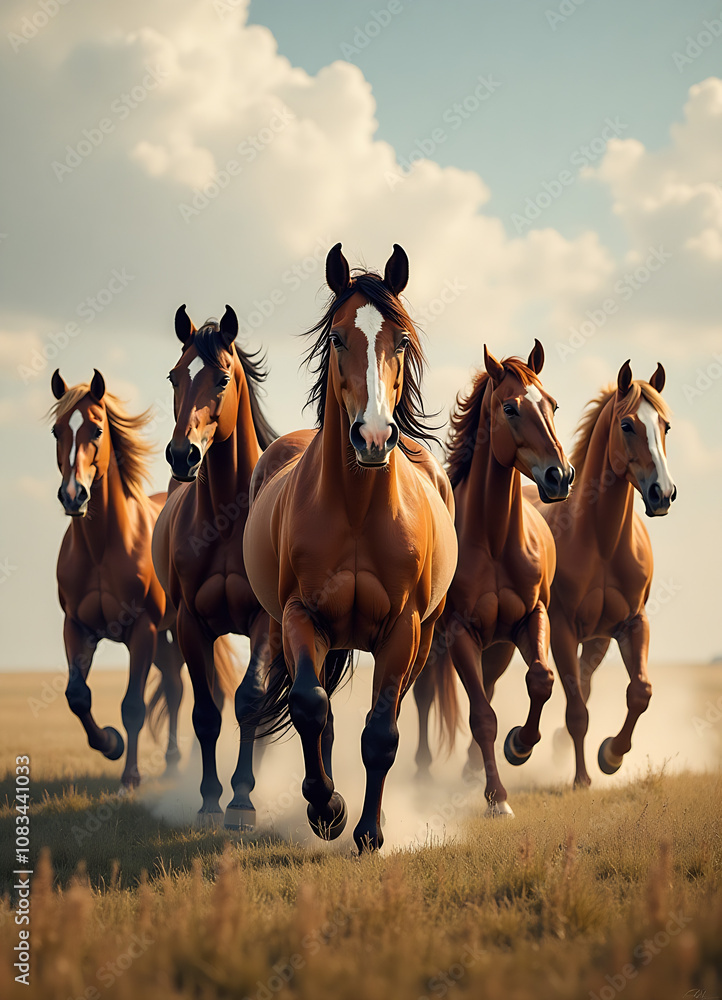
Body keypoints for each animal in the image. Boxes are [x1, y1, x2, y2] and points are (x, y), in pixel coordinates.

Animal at [50, 369, 185, 788]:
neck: (100, 549)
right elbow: (77, 695)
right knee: (174, 685)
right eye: (56, 430)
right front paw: (110, 743)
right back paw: (172, 762)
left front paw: (130, 777)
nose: (73, 495)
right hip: (164, 637)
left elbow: (133, 706)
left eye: (96, 429)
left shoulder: (141, 630)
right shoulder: (77, 627)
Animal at [243, 243, 458, 852]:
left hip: (420, 640)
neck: (358, 510)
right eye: (338, 338)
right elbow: (310, 706)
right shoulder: (301, 615)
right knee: (319, 709)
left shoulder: (403, 629)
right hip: (286, 627)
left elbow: (382, 734)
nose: (374, 437)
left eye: (401, 341)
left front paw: (368, 831)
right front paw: (326, 809)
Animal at [413, 344, 574, 816]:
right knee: (426, 695)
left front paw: (520, 744)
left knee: (489, 684)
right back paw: (424, 772)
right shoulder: (458, 632)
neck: (495, 542)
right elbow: (482, 715)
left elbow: (540, 679)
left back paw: (470, 768)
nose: (560, 476)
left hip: (498, 646)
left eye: (552, 404)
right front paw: (497, 799)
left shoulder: (530, 619)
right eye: (509, 407)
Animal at [530, 360, 676, 787]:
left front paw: (611, 754)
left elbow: (640, 691)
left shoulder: (632, 624)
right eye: (627, 425)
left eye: (665, 426)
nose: (663, 493)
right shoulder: (561, 630)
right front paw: (582, 779)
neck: (602, 542)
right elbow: (577, 710)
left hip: (596, 640)